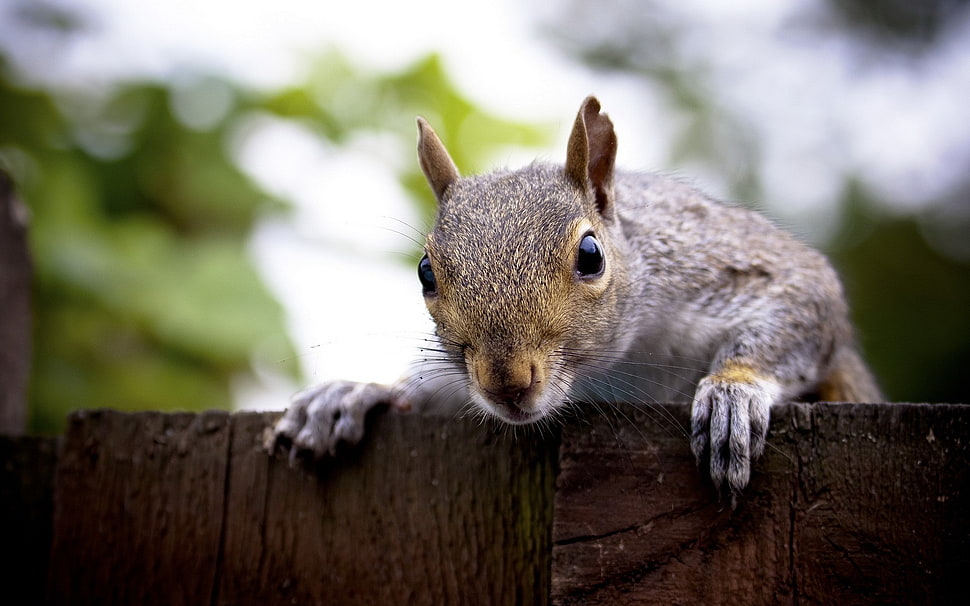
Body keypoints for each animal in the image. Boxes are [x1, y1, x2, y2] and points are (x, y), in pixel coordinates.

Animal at [269, 96, 881, 497]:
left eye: (591, 256)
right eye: (425, 273)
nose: (506, 383)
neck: (614, 364)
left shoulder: (727, 265)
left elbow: (803, 300)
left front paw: (734, 392)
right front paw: (357, 392)